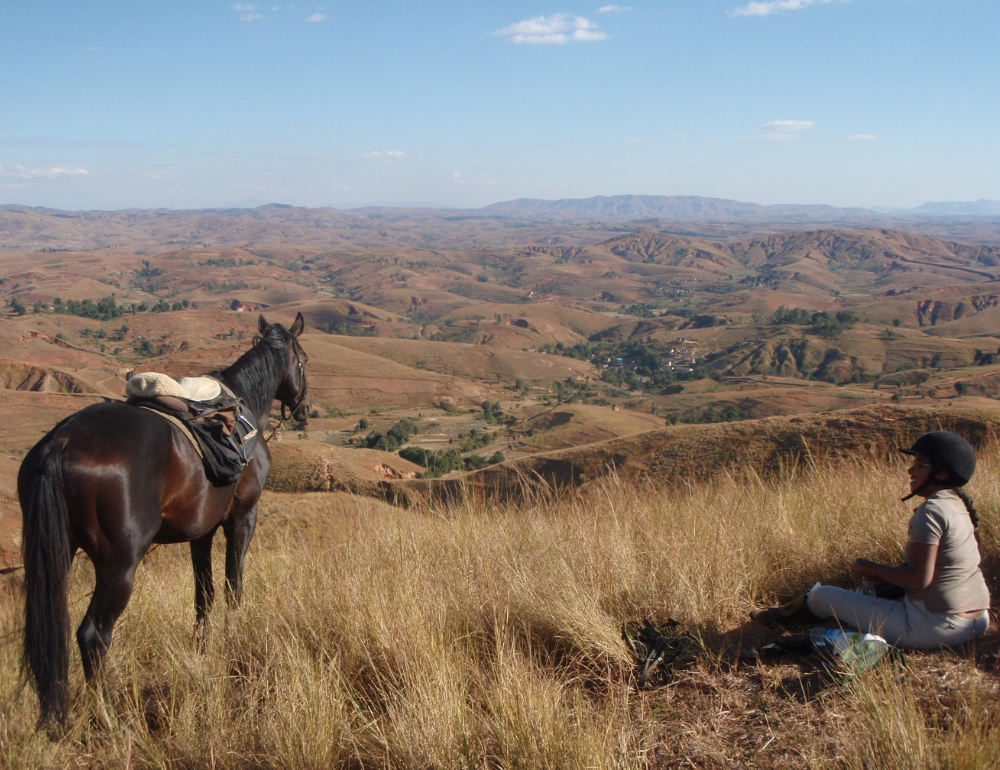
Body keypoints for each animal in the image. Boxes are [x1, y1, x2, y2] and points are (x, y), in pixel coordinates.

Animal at [18, 308, 308, 728]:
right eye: (304, 360)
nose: (305, 408)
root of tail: (63, 441)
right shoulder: (242, 517)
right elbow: (233, 585)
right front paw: (233, 640)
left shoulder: (201, 530)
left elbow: (204, 594)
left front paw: (201, 649)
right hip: (119, 566)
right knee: (93, 635)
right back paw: (108, 717)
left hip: (56, 553)